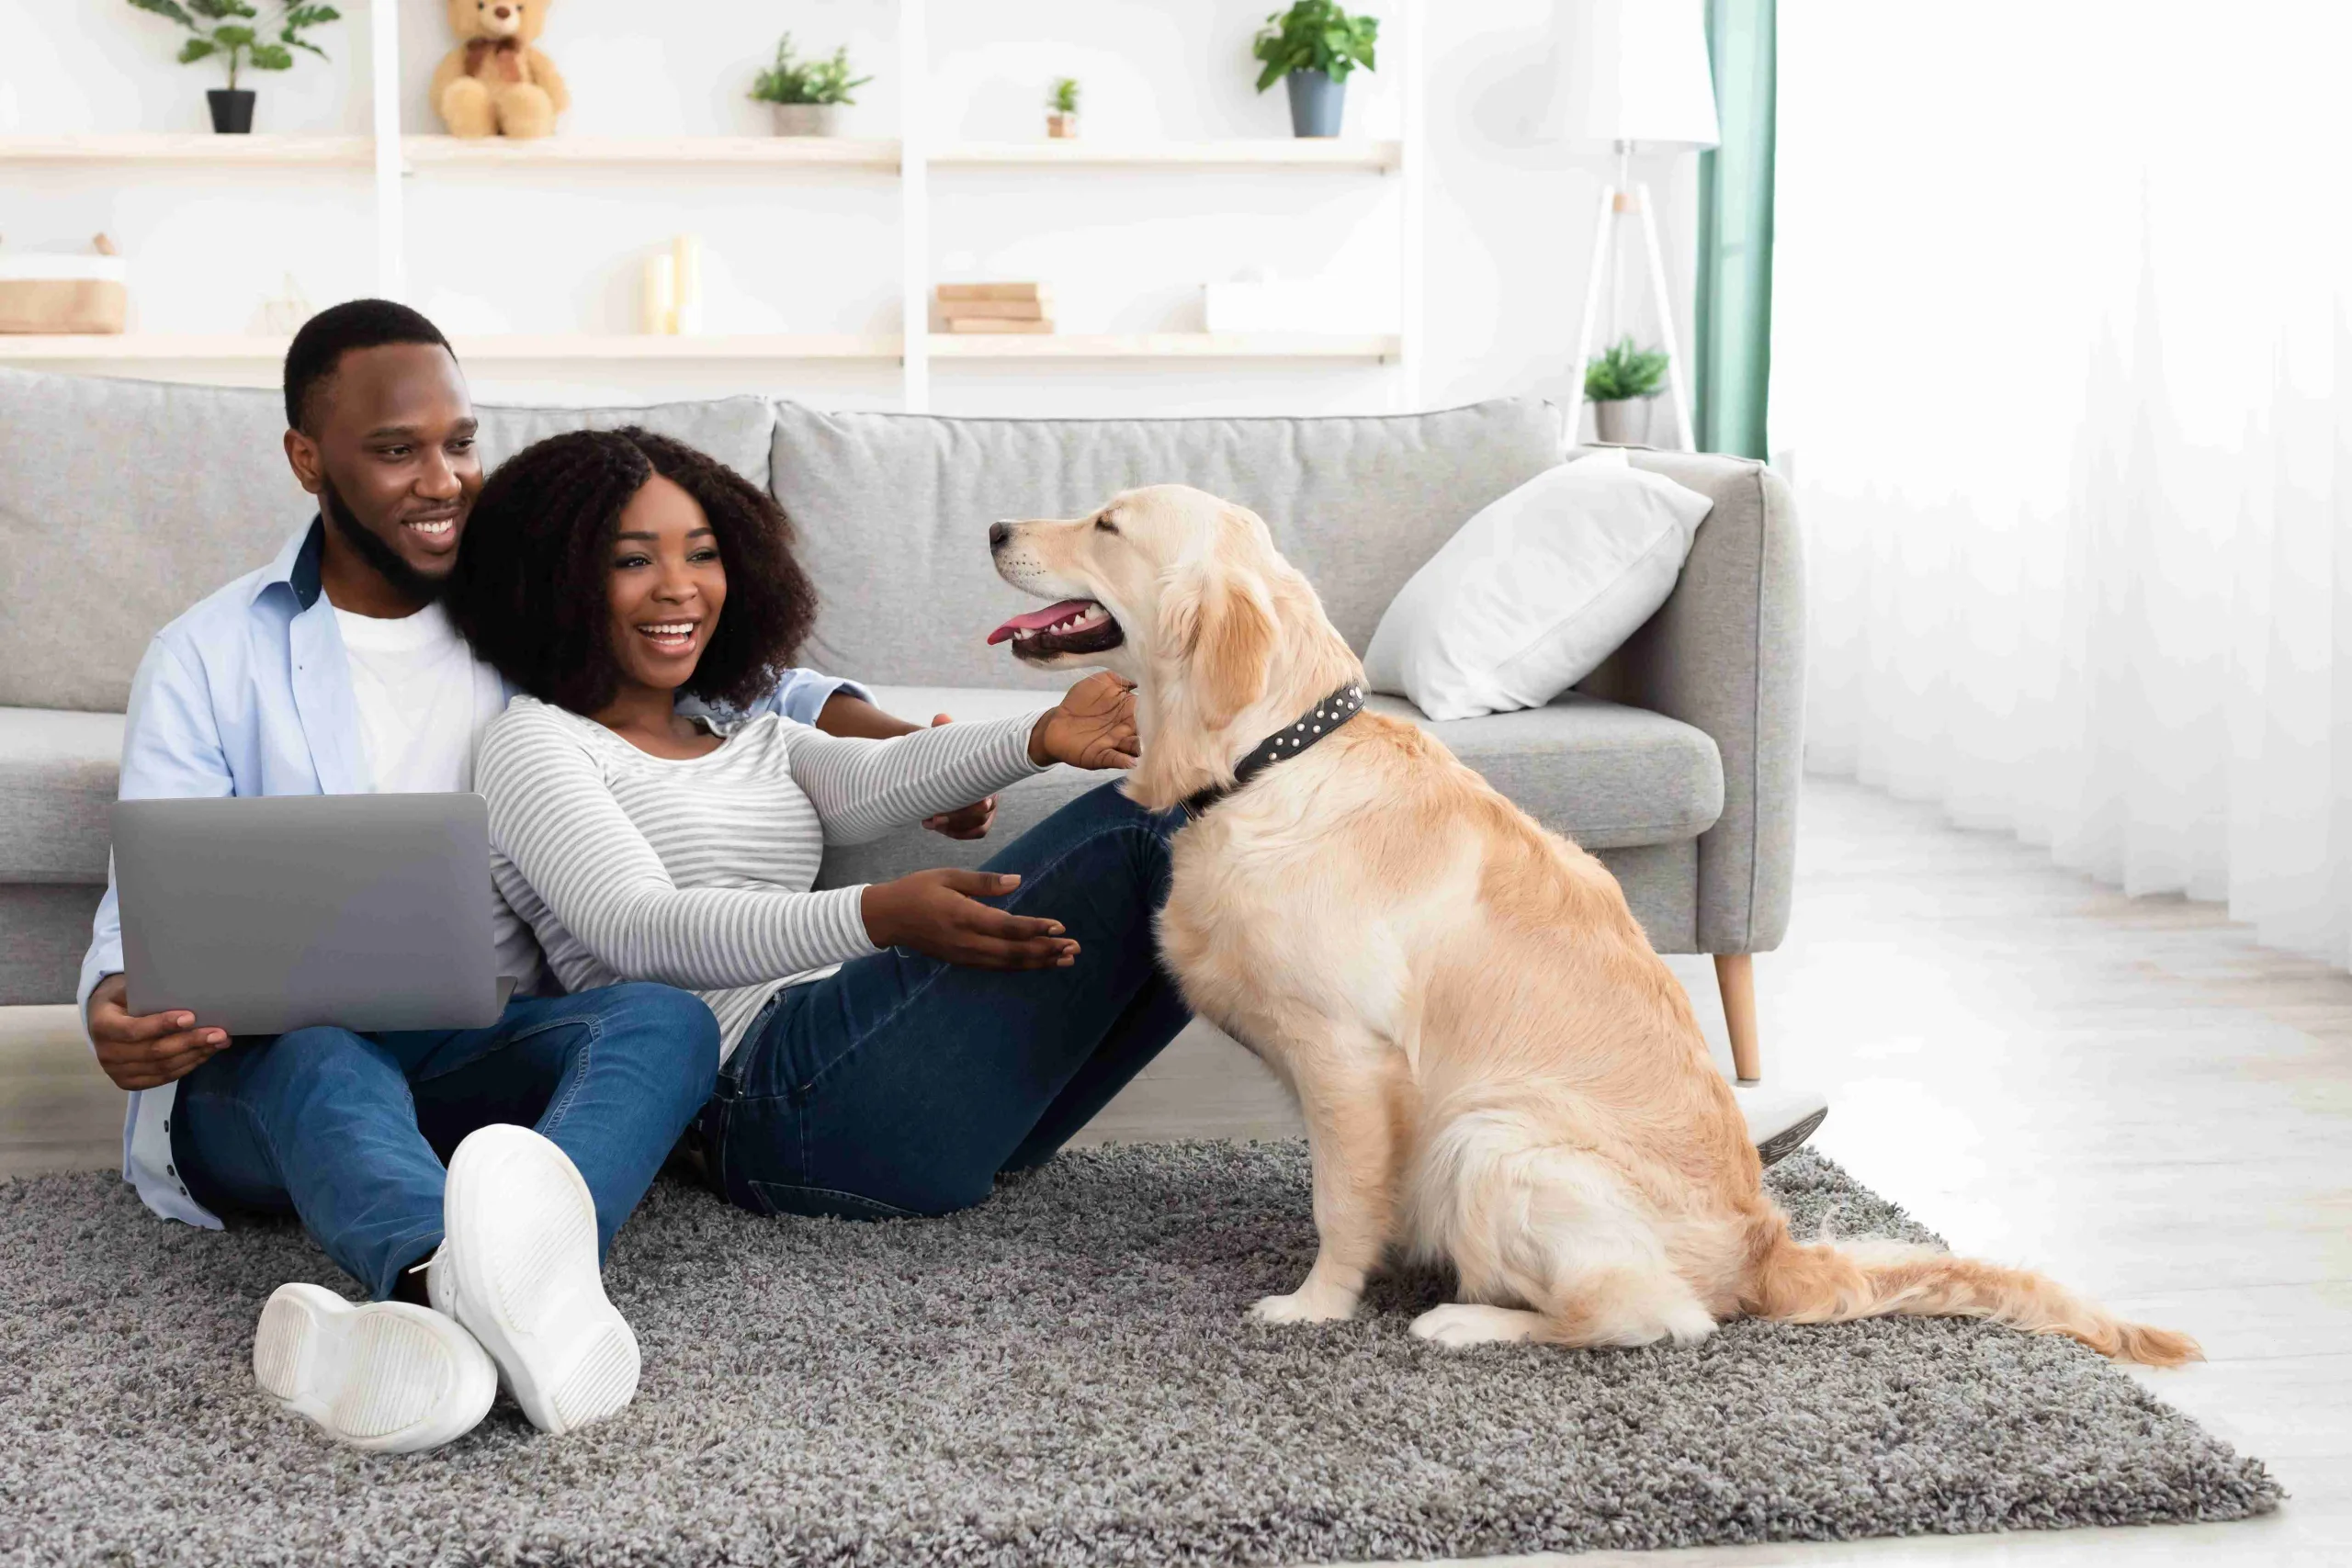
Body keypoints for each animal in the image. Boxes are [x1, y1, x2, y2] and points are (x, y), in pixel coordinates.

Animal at [988, 484, 2201, 1363]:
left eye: (1107, 523)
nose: (997, 527)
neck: (1270, 759)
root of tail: (1770, 1250)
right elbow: (1351, 1190)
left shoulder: (1346, 1053)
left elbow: (1341, 1200)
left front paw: (1315, 1304)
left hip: (1493, 1140)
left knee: (1655, 1317)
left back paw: (1468, 1320)